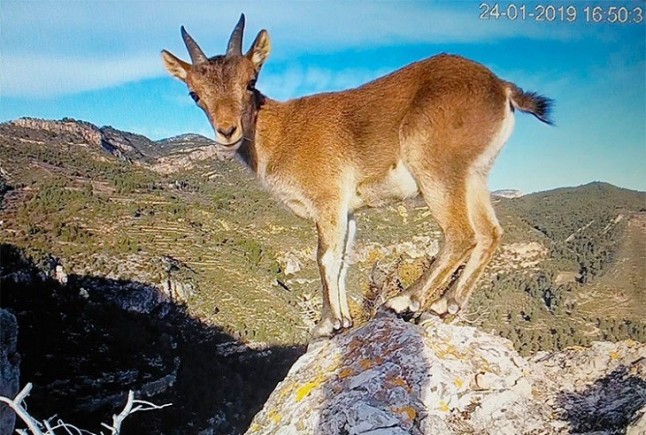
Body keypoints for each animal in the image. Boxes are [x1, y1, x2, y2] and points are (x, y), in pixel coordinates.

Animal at [161, 14, 553, 338]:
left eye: (249, 81)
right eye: (194, 94)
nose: (228, 131)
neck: (282, 133)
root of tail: (502, 88)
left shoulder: (328, 199)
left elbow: (324, 256)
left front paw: (325, 324)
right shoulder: (348, 211)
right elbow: (343, 262)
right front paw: (344, 321)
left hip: (436, 167)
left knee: (461, 234)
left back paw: (405, 301)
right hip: (474, 174)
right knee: (490, 233)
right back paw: (444, 306)